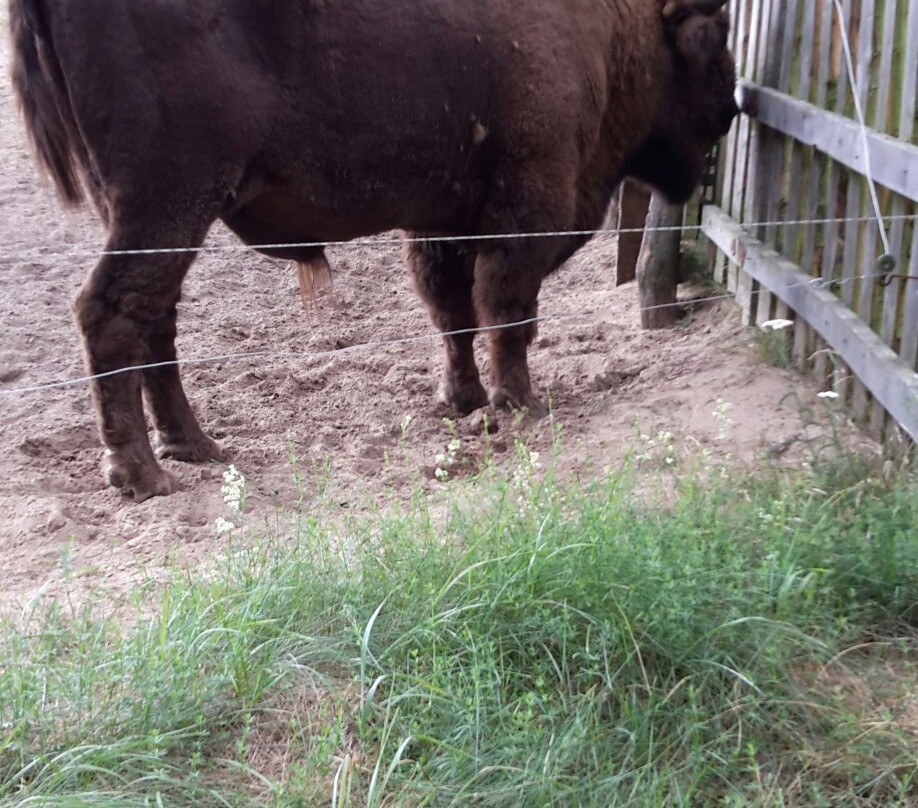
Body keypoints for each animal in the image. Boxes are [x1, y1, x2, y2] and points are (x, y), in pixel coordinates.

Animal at [10, 0, 738, 501]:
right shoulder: (528, 209)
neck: (618, 29)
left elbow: (453, 314)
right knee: (111, 312)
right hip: (170, 200)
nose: (733, 108)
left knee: (154, 318)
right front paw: (519, 403)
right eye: (715, 35)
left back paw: (194, 445)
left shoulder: (445, 222)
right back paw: (141, 475)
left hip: (155, 212)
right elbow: (507, 312)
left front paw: (464, 399)